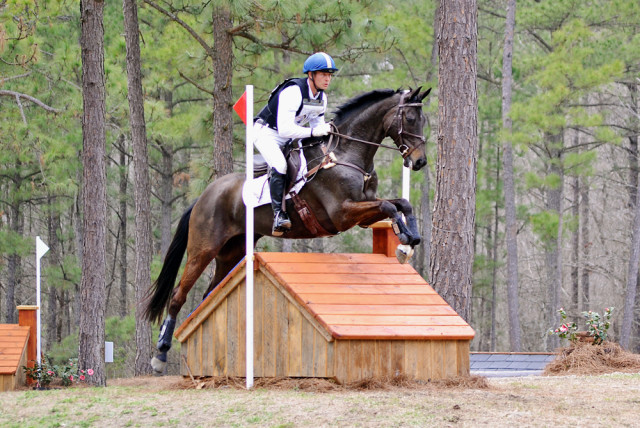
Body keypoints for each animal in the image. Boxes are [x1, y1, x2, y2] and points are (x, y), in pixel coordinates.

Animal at [145, 85, 432, 372]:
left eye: (423, 120)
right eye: (409, 119)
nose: (419, 162)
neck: (346, 155)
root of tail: (204, 196)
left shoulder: (362, 212)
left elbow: (401, 203)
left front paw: (410, 239)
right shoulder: (342, 214)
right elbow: (388, 206)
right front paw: (404, 242)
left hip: (232, 253)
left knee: (209, 294)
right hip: (203, 248)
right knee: (178, 295)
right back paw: (160, 353)